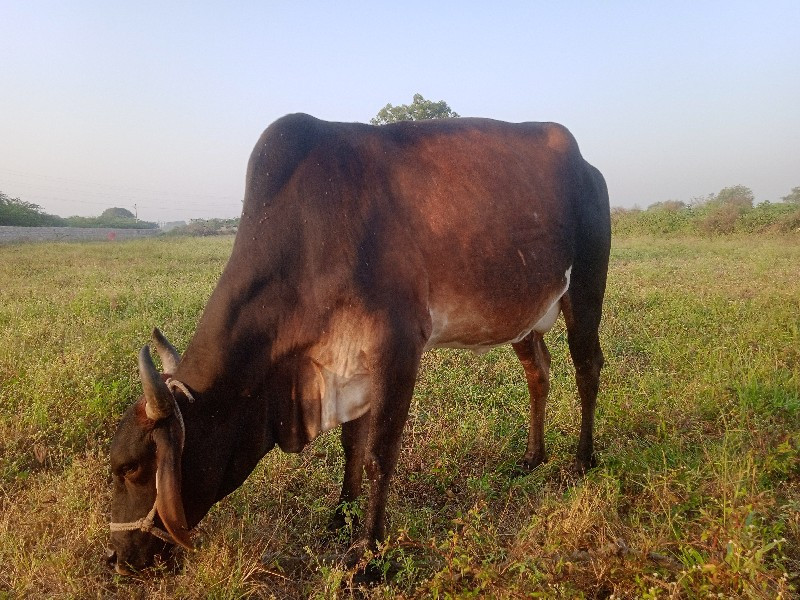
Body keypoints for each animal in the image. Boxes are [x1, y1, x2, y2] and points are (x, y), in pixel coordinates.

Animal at [104, 115, 608, 576]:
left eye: (131, 468)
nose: (117, 558)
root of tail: (587, 166)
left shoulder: (398, 350)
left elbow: (378, 457)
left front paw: (368, 553)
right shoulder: (348, 364)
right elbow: (352, 446)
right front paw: (340, 517)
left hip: (584, 290)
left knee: (588, 367)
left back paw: (582, 460)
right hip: (523, 317)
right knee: (539, 372)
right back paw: (532, 458)